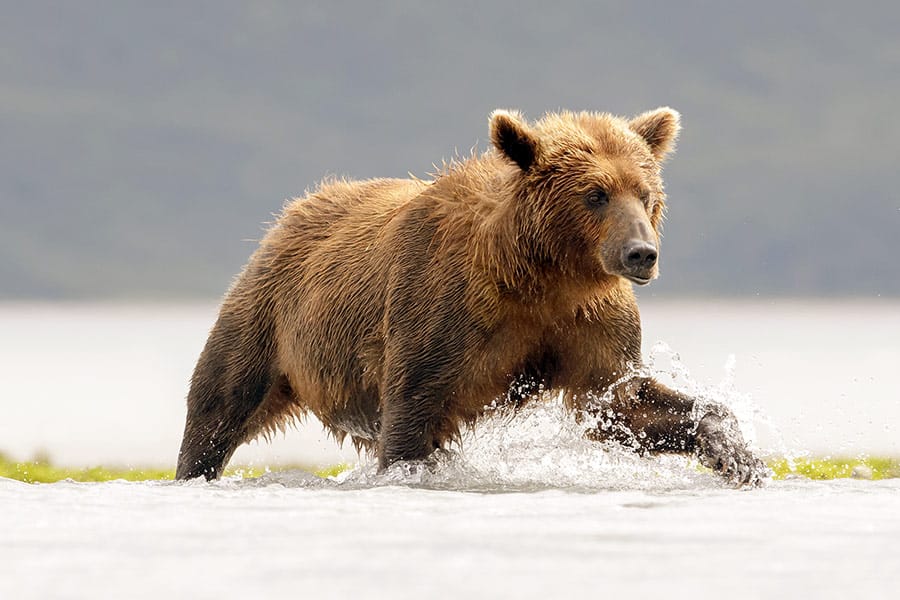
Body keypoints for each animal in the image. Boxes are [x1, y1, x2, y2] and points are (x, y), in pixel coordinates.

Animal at [176, 105, 768, 486]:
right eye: (595, 194)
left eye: (646, 194)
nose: (641, 253)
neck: (540, 274)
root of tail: (296, 209)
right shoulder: (441, 310)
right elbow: (411, 413)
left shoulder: (588, 321)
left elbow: (621, 402)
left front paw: (741, 459)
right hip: (268, 314)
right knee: (218, 406)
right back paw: (194, 468)